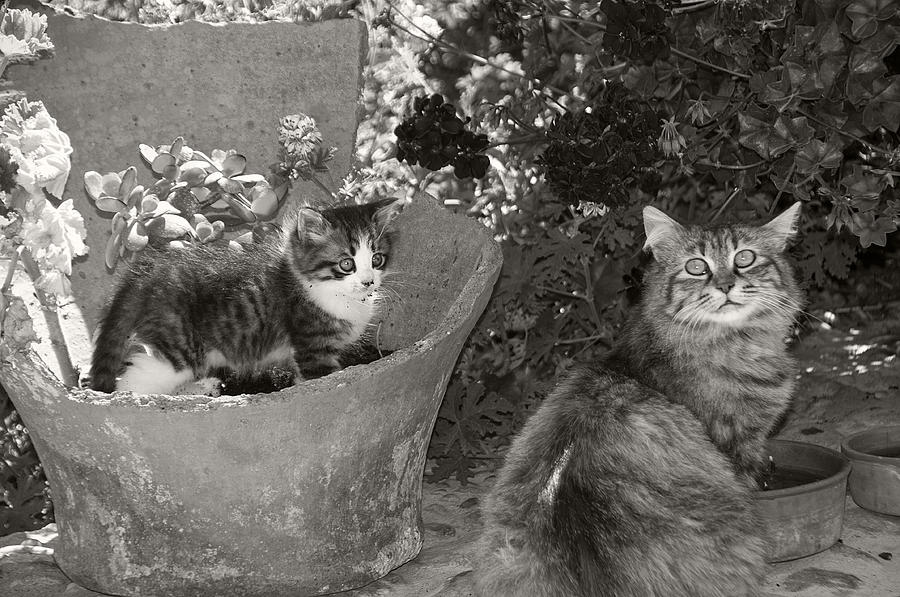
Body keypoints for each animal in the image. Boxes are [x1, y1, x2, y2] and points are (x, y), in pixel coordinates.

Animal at [89, 198, 404, 396]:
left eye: (377, 259)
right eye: (346, 264)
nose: (368, 282)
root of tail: (150, 272)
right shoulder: (313, 348)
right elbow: (324, 379)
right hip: (177, 349)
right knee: (134, 383)